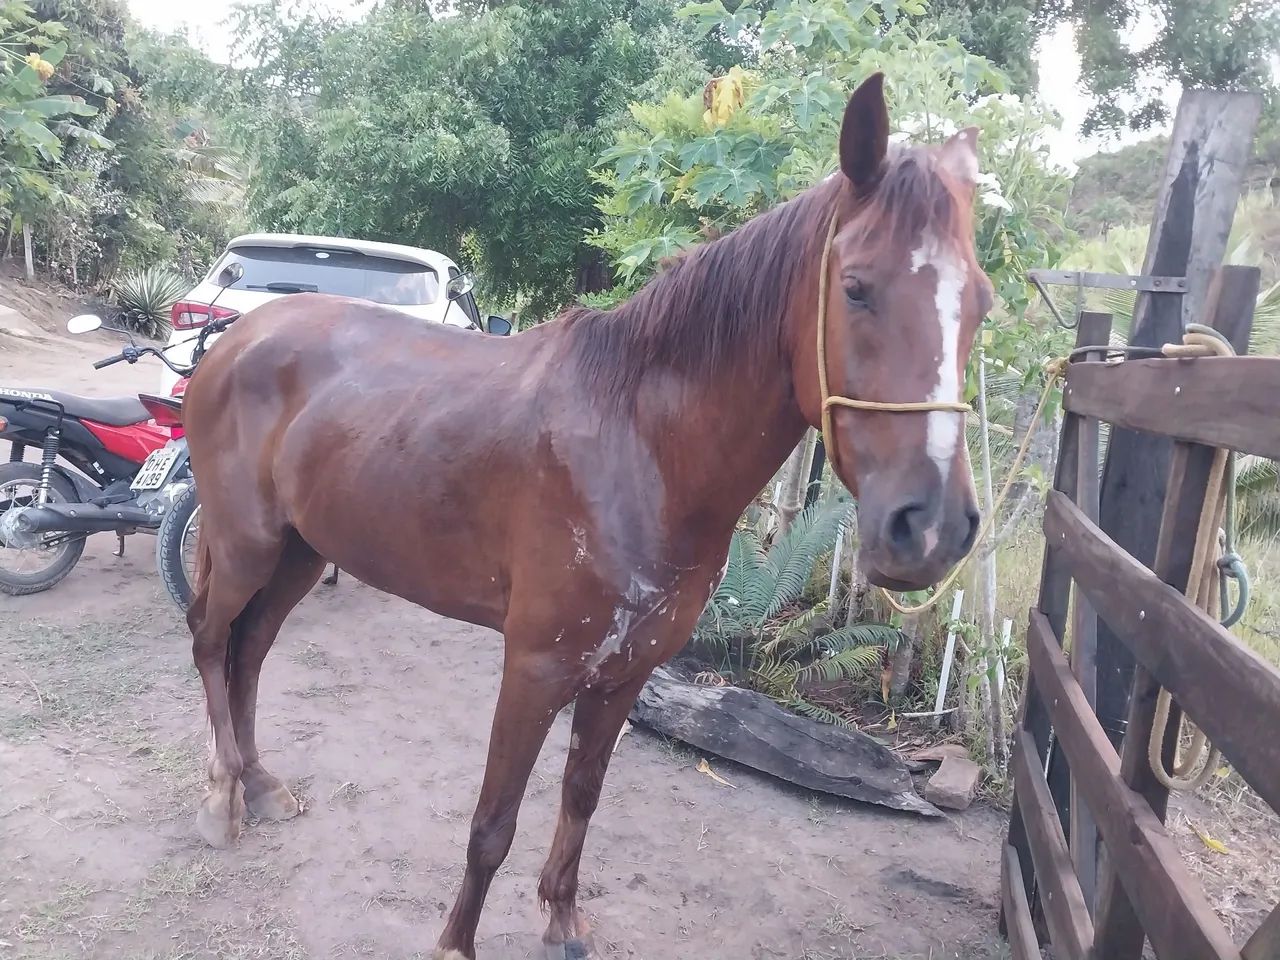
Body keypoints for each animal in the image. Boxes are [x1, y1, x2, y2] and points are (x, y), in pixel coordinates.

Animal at [179, 73, 991, 960]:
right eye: (856, 287)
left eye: (981, 303)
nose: (931, 526)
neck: (639, 446)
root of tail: (237, 336)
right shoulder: (534, 668)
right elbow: (492, 825)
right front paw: (456, 945)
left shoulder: (627, 669)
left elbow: (582, 792)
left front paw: (563, 920)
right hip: (247, 546)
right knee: (213, 643)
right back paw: (221, 799)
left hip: (299, 553)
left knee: (251, 651)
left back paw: (259, 784)